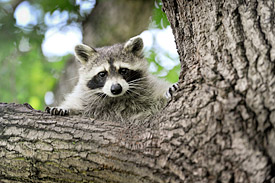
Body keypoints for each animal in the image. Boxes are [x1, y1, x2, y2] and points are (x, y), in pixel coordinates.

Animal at [45, 36, 179, 122]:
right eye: (102, 74)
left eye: (123, 70)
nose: (116, 89)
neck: (117, 98)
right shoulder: (85, 98)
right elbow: (77, 103)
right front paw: (65, 108)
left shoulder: (149, 88)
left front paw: (167, 90)